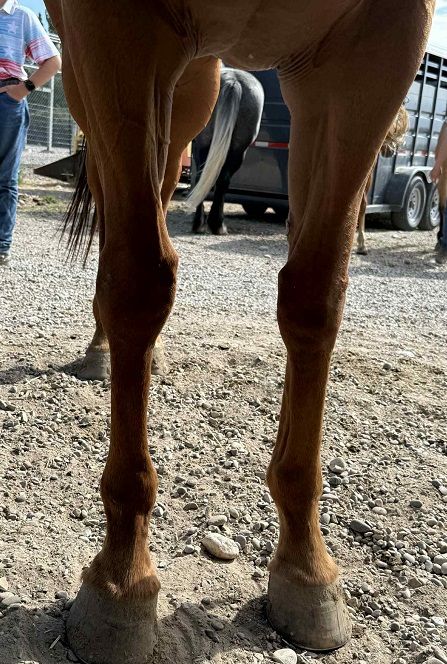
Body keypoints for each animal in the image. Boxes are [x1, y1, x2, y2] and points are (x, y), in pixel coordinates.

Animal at [189, 67, 264, 235]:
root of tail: (232, 80)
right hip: (237, 150)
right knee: (221, 180)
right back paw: (215, 224)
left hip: (205, 146)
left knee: (204, 178)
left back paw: (205, 224)